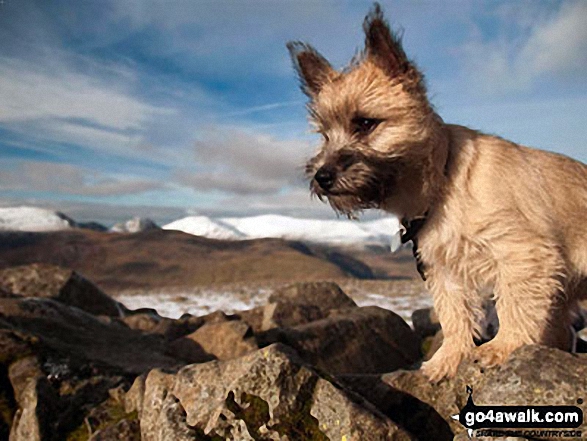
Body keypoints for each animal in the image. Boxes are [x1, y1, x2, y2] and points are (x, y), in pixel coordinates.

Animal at [288, 4, 587, 382]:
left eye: (366, 123)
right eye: (325, 135)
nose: (322, 177)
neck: (444, 181)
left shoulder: (523, 254)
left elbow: (514, 304)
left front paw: (503, 347)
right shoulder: (445, 271)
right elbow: (454, 315)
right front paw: (448, 360)